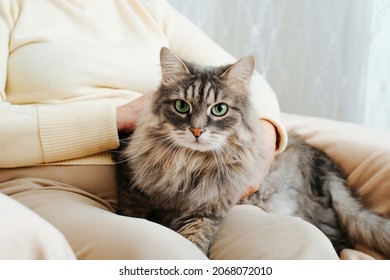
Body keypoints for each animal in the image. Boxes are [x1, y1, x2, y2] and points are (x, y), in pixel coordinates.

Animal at [115, 46, 390, 258]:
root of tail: (320, 159)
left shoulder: (206, 208)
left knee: (336, 237)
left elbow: (193, 240)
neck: (189, 162)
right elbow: (132, 214)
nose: (197, 130)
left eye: (219, 109)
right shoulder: (131, 188)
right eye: (182, 106)